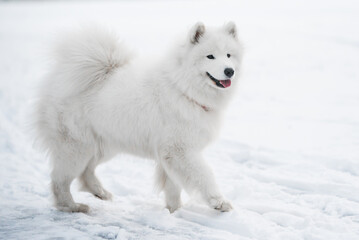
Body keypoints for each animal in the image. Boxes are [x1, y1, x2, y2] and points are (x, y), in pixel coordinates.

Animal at [35, 22, 245, 213]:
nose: (229, 71)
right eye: (210, 56)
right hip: (77, 149)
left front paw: (174, 211)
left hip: (103, 145)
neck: (182, 88)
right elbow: (204, 175)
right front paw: (219, 202)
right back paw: (72, 206)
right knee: (59, 180)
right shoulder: (180, 150)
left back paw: (101, 193)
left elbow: (173, 187)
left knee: (86, 172)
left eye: (228, 55)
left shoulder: (171, 154)